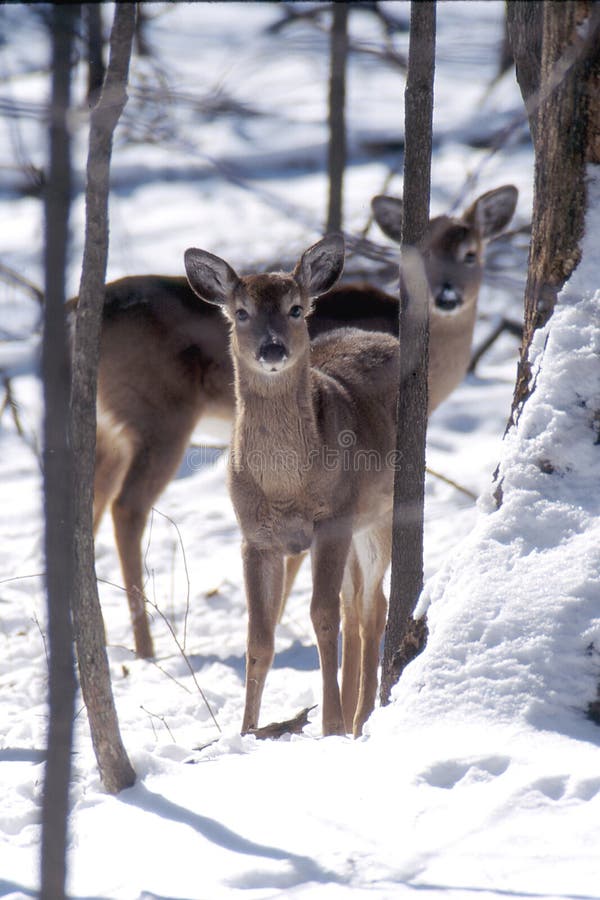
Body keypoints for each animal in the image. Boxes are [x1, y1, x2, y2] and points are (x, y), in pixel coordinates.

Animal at [86, 183, 516, 660]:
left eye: (470, 253)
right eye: (417, 257)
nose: (446, 296)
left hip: (111, 427)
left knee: (91, 501)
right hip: (159, 414)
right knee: (127, 506)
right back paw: (144, 646)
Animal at [183, 234, 400, 740]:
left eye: (296, 308)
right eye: (241, 312)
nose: (272, 348)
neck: (286, 487)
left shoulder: (333, 519)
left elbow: (321, 616)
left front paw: (331, 726)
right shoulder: (255, 538)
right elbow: (259, 637)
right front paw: (247, 732)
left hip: (382, 510)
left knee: (371, 607)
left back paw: (359, 719)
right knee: (355, 605)